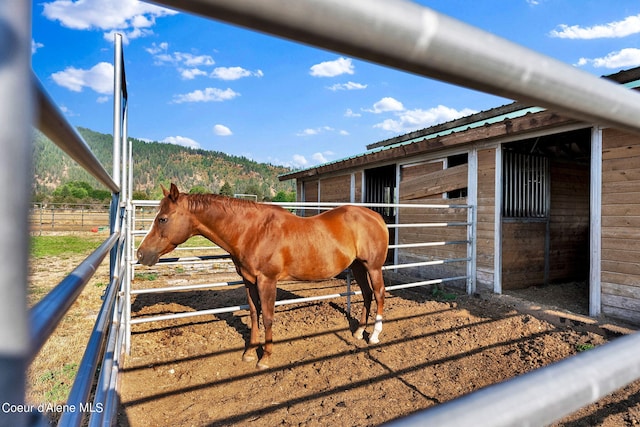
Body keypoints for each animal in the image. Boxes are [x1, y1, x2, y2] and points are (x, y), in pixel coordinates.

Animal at [137, 182, 388, 370]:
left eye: (162, 219)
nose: (140, 254)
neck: (252, 231)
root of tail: (376, 217)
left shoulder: (267, 280)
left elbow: (267, 316)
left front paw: (265, 357)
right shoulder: (249, 281)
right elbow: (253, 314)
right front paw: (249, 352)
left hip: (373, 267)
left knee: (379, 294)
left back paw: (374, 335)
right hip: (358, 266)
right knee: (367, 294)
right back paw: (358, 331)